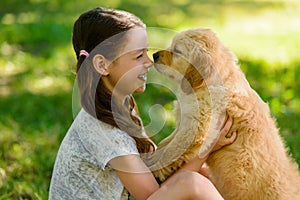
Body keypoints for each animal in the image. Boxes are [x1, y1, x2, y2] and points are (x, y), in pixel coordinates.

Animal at [145, 28, 300, 200]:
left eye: (177, 51)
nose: (154, 55)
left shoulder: (195, 128)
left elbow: (170, 150)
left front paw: (153, 168)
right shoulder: (186, 122)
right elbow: (165, 143)